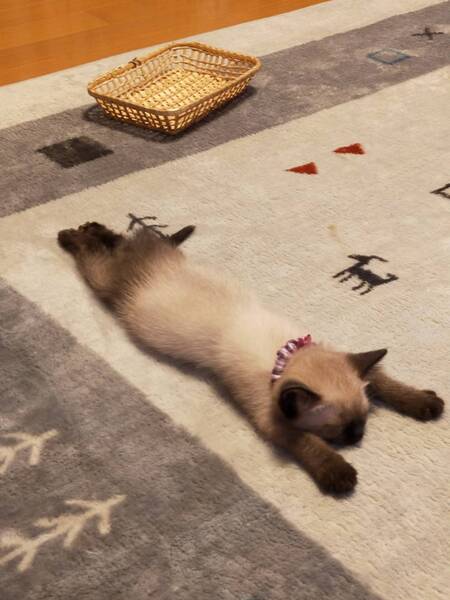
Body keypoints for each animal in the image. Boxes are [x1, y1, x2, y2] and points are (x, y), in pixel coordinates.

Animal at [57, 222, 444, 495]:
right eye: (338, 430)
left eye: (362, 421)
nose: (358, 437)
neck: (284, 356)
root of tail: (156, 262)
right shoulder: (269, 416)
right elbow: (305, 442)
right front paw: (339, 473)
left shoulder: (336, 355)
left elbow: (383, 380)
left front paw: (426, 403)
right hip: (106, 284)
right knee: (95, 254)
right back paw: (70, 235)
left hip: (147, 257)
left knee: (124, 237)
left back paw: (95, 227)